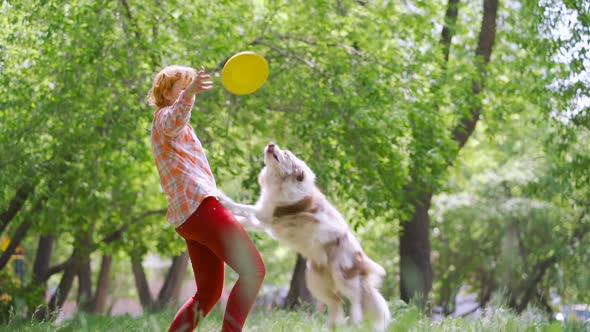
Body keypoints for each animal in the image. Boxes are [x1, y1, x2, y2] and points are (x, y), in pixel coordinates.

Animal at [219, 142, 394, 330]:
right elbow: (244, 219)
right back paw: (331, 326)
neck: (281, 181)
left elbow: (243, 207)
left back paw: (355, 321)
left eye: (286, 154)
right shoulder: (262, 220)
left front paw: (224, 200)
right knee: (337, 301)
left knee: (356, 298)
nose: (271, 144)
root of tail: (362, 261)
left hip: (343, 276)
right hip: (314, 280)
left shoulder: (265, 214)